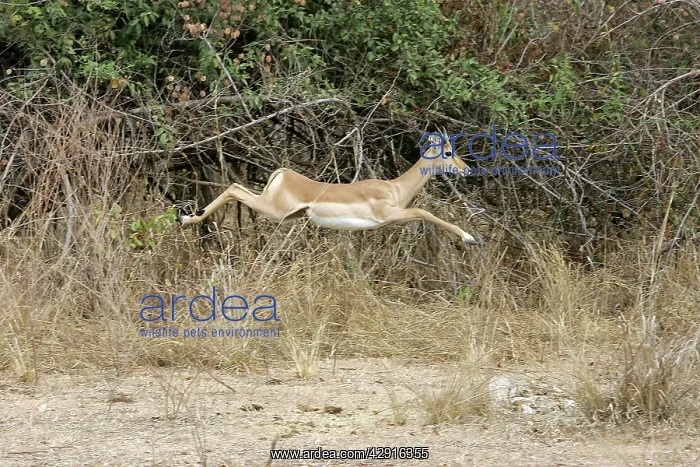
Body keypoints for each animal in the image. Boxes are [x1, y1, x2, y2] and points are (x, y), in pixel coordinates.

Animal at [177, 131, 478, 246]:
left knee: (236, 187)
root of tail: (282, 173)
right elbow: (425, 213)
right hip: (274, 211)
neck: (393, 188)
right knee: (235, 187)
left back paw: (187, 217)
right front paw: (470, 238)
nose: (467, 170)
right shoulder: (389, 215)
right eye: (449, 152)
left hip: (284, 214)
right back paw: (186, 218)